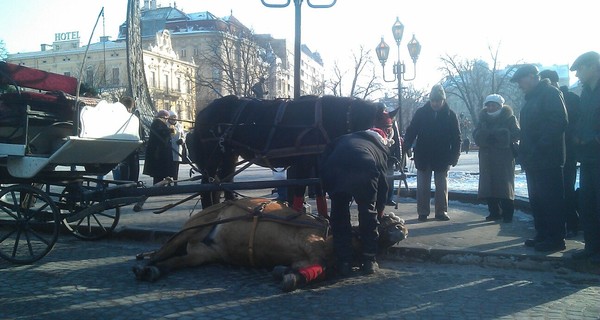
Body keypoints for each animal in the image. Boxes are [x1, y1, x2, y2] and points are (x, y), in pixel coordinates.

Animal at [132, 196, 408, 292]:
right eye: (389, 220)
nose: (403, 226)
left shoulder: (306, 258)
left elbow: (315, 269)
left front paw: (288, 275)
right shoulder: (309, 242)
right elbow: (319, 264)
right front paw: (288, 275)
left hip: (202, 253)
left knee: (176, 261)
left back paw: (155, 271)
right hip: (193, 228)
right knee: (161, 251)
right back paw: (145, 267)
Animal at [190, 95, 396, 215]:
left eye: (390, 129)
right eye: (383, 129)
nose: (390, 159)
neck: (324, 118)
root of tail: (202, 112)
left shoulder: (315, 163)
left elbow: (319, 192)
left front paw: (323, 218)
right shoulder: (304, 162)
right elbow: (299, 190)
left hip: (229, 155)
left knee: (223, 182)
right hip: (213, 155)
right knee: (207, 186)